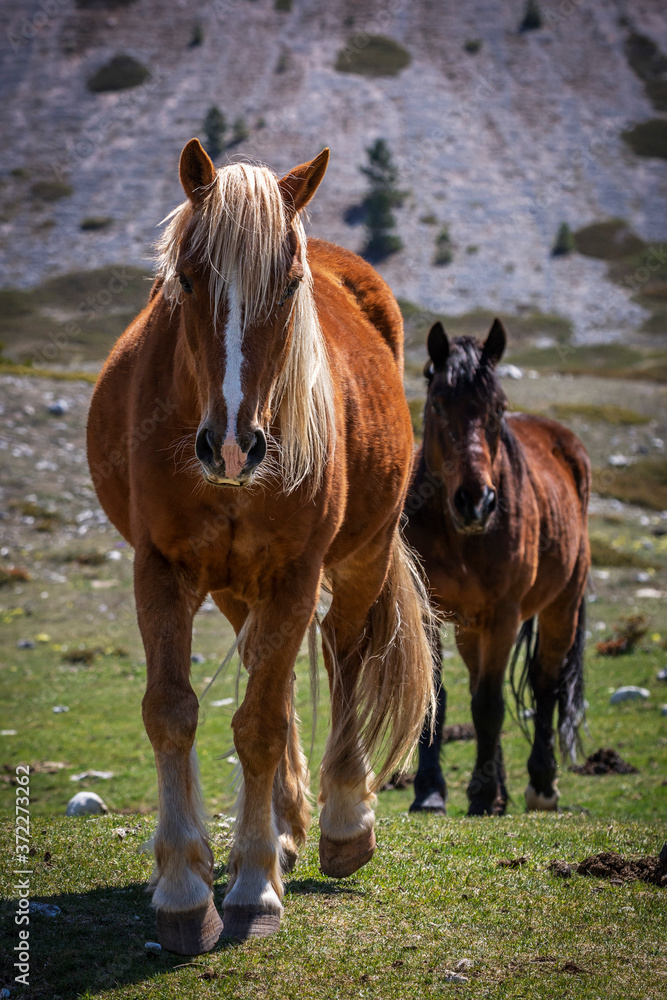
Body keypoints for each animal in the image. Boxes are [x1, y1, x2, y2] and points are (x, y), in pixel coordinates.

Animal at [87, 139, 435, 953]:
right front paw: (185, 890)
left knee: (343, 658)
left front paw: (252, 890)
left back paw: (343, 822)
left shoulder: (296, 573)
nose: (233, 446)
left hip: (359, 555)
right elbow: (173, 711)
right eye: (186, 277)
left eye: (290, 282)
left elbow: (261, 723)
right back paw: (284, 827)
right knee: (264, 672)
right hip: (234, 586)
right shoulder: (162, 568)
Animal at [405, 318, 590, 817]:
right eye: (438, 403)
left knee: (545, 686)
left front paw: (483, 794)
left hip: (560, 606)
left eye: (498, 407)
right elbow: (438, 696)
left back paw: (541, 786)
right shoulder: (428, 610)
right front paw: (430, 792)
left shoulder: (505, 614)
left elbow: (490, 705)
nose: (476, 501)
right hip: (472, 627)